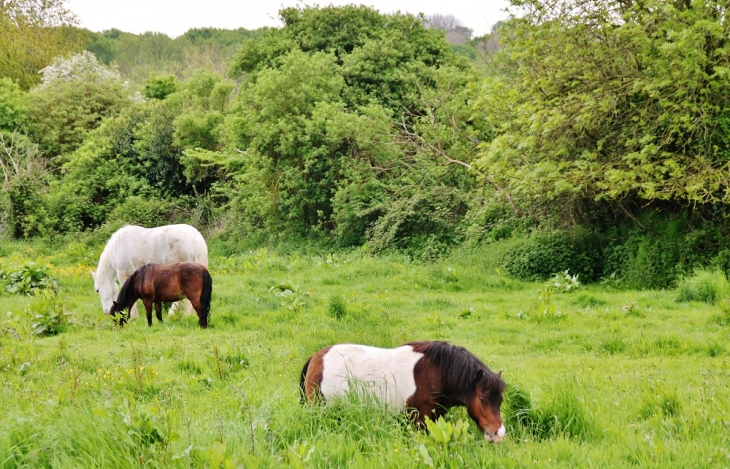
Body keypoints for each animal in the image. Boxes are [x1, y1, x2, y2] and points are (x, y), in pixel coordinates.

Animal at [298, 340, 504, 442]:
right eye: (483, 400)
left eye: (500, 401)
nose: (499, 434)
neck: (436, 372)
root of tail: (316, 357)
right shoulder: (419, 421)